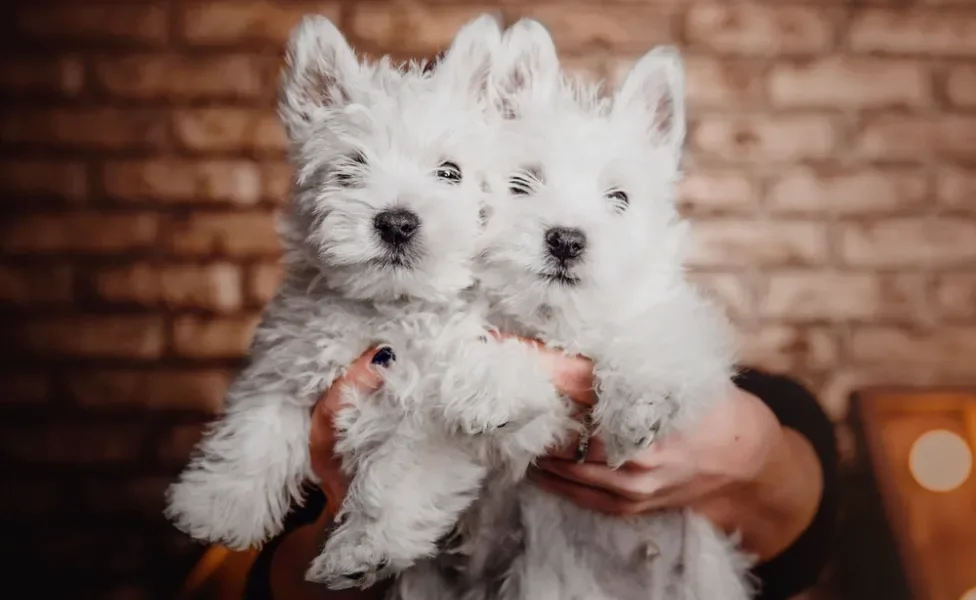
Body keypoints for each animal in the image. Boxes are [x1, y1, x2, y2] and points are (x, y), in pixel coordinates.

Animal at [163, 15, 568, 592]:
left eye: (449, 171)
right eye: (350, 168)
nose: (397, 222)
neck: (387, 306)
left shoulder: (434, 415)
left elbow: (396, 480)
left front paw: (362, 549)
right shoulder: (288, 361)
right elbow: (255, 431)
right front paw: (219, 504)